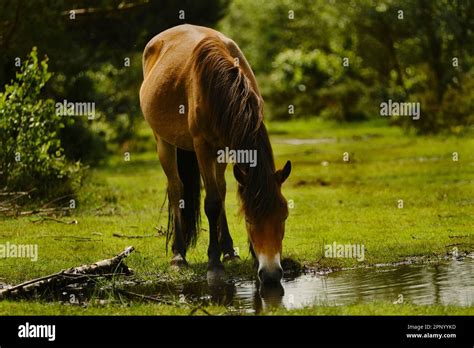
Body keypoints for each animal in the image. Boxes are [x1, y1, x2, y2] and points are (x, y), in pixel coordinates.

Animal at [139, 25, 290, 286]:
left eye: (283, 217)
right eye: (249, 220)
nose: (271, 274)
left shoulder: (224, 147)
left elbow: (221, 194)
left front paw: (236, 254)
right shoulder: (202, 145)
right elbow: (211, 203)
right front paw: (214, 263)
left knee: (219, 187)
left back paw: (228, 250)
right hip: (163, 142)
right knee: (176, 188)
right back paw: (179, 255)